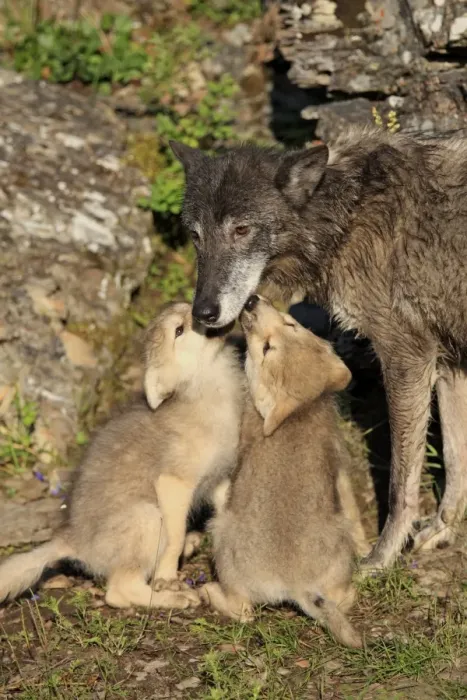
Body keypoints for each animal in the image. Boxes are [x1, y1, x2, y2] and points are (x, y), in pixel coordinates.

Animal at [0, 303, 244, 608]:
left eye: (187, 307)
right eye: (179, 330)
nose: (205, 310)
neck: (208, 393)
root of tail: (72, 539)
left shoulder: (220, 478)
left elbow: (224, 513)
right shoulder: (173, 483)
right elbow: (174, 540)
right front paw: (168, 577)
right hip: (147, 517)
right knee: (119, 591)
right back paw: (175, 598)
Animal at [170, 127, 467, 569]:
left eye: (241, 230)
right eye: (196, 236)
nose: (203, 312)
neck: (348, 216)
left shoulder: (408, 356)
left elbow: (401, 482)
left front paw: (382, 557)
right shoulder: (449, 361)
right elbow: (455, 458)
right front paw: (444, 531)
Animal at [200, 294, 365, 647]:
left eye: (266, 349)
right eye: (292, 323)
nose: (251, 300)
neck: (300, 412)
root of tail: (297, 584)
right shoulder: (340, 466)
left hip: (220, 538)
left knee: (243, 612)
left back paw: (208, 592)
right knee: (342, 598)